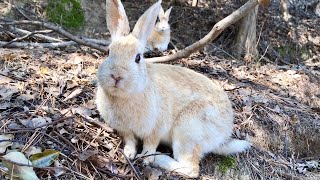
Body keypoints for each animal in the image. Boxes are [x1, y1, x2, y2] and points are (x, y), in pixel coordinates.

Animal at [96, 0, 251, 177]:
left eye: (138, 58)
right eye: (108, 52)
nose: (117, 76)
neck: (124, 96)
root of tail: (224, 134)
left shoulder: (156, 128)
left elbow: (150, 144)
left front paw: (146, 158)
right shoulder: (125, 130)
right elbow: (130, 141)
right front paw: (128, 153)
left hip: (188, 130)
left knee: (191, 168)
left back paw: (160, 159)